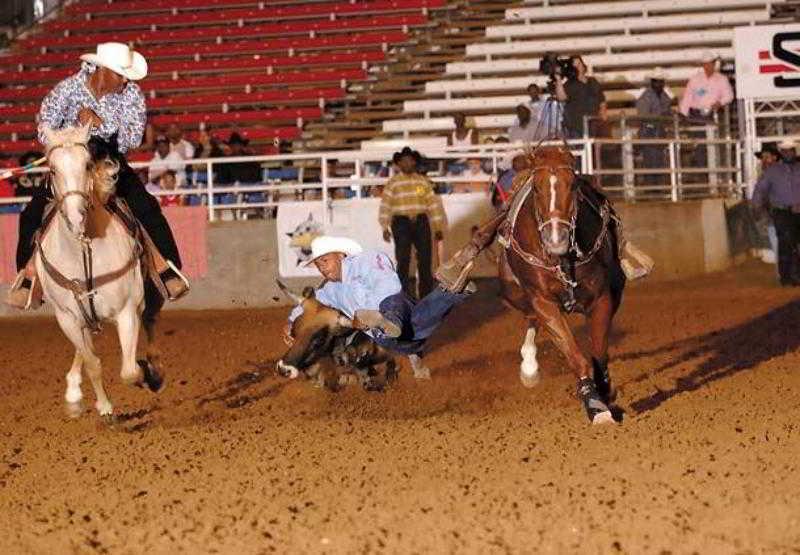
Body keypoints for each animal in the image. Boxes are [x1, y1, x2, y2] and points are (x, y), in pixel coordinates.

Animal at [37, 126, 162, 422]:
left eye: (87, 164)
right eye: (53, 169)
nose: (76, 216)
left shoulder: (127, 311)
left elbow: (129, 371)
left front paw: (147, 374)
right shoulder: (67, 318)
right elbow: (93, 362)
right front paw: (104, 407)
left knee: (150, 319)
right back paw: (73, 392)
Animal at [500, 146, 624, 424]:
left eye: (573, 185)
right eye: (536, 188)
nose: (555, 239)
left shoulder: (602, 297)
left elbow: (599, 351)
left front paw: (605, 390)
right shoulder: (542, 301)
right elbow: (574, 354)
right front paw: (595, 405)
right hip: (513, 293)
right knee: (530, 317)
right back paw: (529, 368)